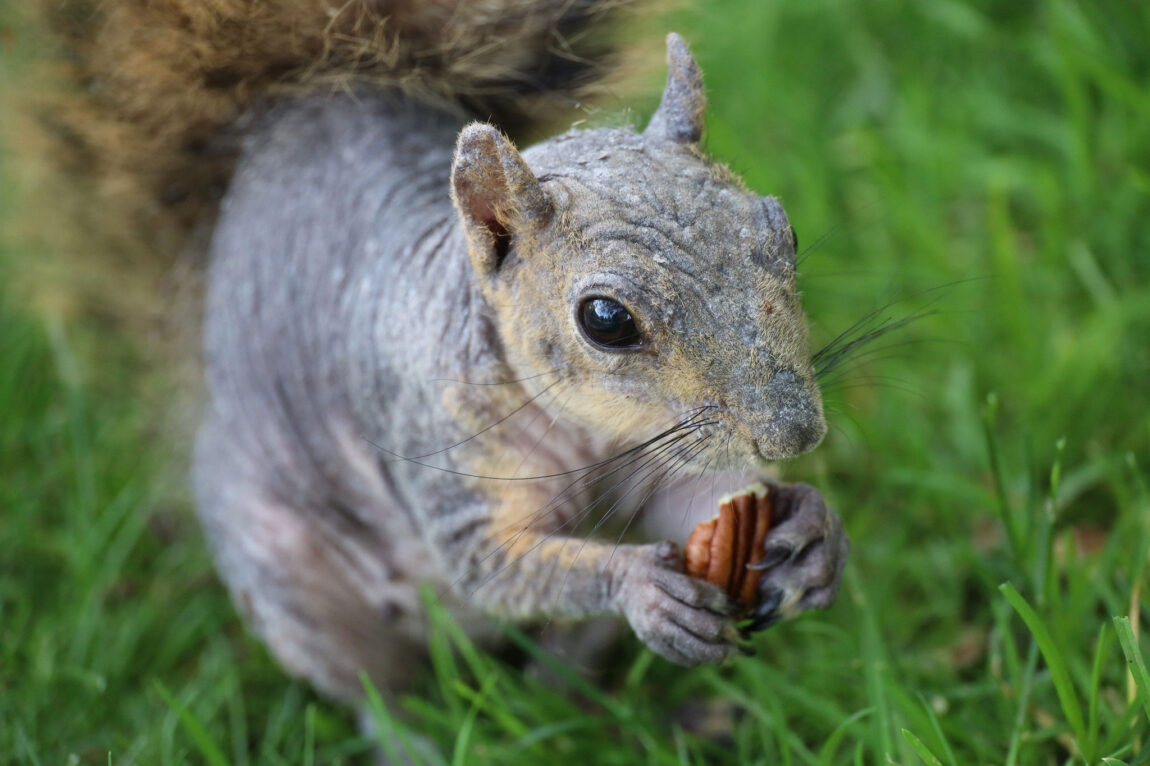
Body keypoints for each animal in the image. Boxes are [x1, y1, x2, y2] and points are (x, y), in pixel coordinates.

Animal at [18, 0, 849, 706]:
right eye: (606, 320)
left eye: (782, 229)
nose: (795, 436)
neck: (588, 433)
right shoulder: (439, 459)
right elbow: (495, 566)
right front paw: (637, 585)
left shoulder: (652, 455)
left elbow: (697, 503)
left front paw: (811, 527)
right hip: (286, 579)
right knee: (369, 691)